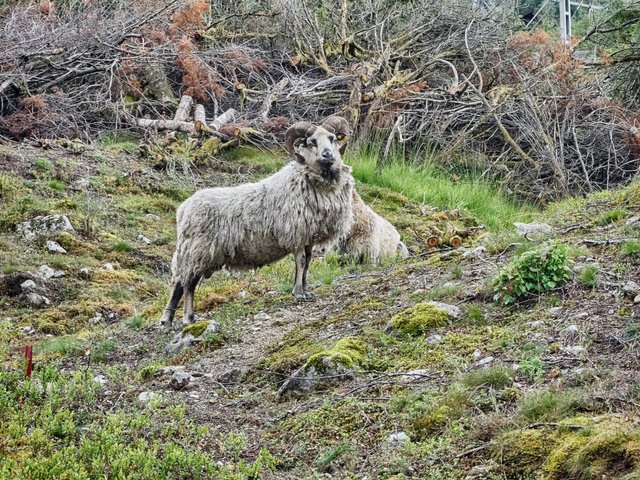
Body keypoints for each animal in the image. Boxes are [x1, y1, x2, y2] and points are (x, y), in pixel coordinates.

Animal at [158, 115, 352, 330]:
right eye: (312, 142)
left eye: (332, 138)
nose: (328, 155)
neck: (309, 177)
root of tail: (183, 208)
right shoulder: (295, 234)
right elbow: (301, 262)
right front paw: (299, 293)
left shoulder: (308, 236)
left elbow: (307, 263)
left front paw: (306, 291)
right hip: (197, 250)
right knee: (188, 284)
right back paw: (188, 317)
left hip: (194, 252)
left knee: (180, 282)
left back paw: (167, 319)